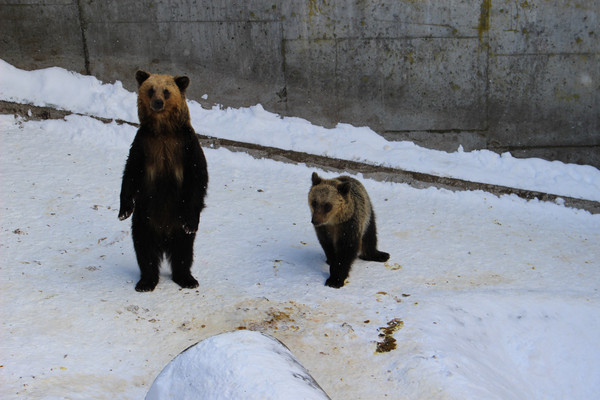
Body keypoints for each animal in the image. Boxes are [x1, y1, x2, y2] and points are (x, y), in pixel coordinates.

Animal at [118, 70, 208, 292]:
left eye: (166, 91)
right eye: (151, 89)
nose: (158, 102)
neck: (164, 130)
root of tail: (165, 237)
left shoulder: (186, 145)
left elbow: (198, 175)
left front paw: (191, 223)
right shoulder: (143, 145)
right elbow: (130, 172)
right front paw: (123, 210)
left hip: (176, 221)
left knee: (184, 251)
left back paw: (187, 278)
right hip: (144, 220)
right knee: (145, 250)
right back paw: (146, 281)